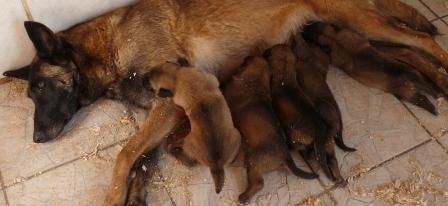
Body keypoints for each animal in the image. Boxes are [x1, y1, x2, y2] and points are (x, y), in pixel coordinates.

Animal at [144, 61, 242, 193]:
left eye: (150, 84)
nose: (143, 77)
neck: (176, 76)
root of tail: (216, 165)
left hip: (188, 140)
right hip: (237, 136)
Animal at [262, 45, 344, 183]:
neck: (284, 79)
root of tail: (319, 132)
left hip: (297, 138)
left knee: (307, 153)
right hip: (328, 146)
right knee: (332, 160)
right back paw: (339, 179)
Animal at [304, 23, 440, 116]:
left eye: (310, 30)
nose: (305, 27)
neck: (333, 38)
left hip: (406, 93)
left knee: (422, 100)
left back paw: (434, 109)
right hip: (415, 76)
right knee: (427, 88)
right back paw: (437, 97)